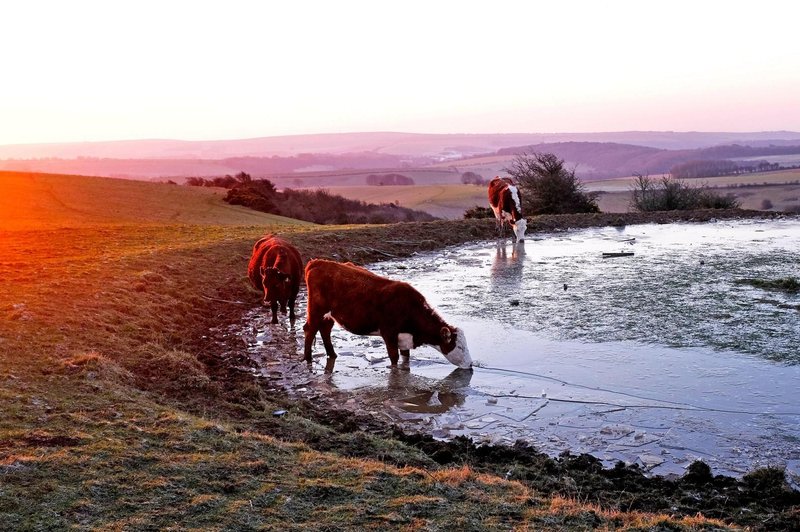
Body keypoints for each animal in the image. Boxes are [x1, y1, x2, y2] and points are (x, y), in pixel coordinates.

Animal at [304, 258, 472, 370]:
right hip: (316, 310)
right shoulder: (389, 334)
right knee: (310, 330)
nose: (470, 364)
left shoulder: (404, 339)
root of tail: (319, 262)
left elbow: (405, 357)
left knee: (325, 329)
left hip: (329, 314)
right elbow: (394, 358)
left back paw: (332, 355)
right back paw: (308, 359)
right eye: (459, 346)